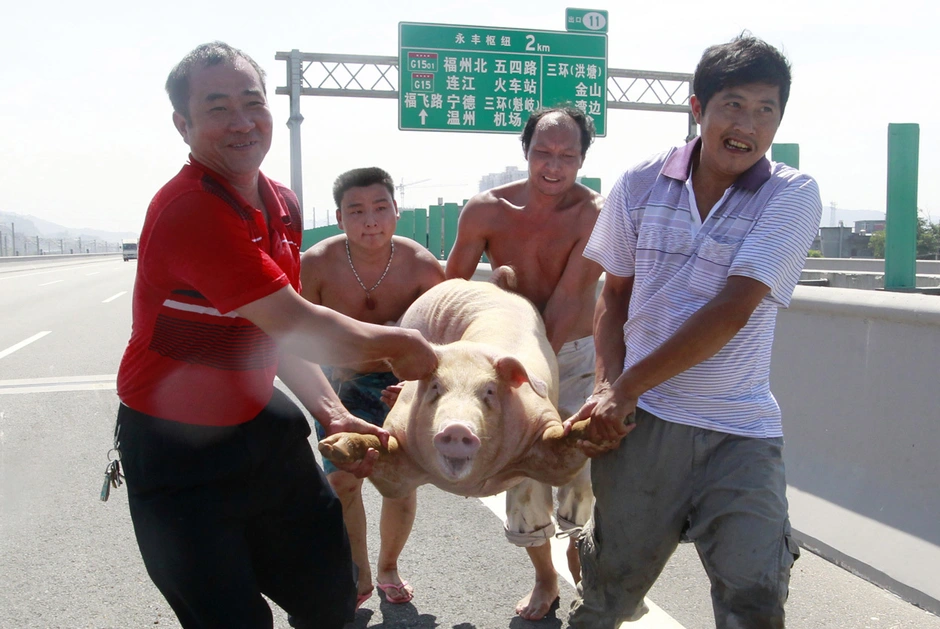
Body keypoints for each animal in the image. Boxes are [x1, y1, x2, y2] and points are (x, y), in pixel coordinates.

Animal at [320, 278, 592, 498]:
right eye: (436, 387)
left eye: (489, 391)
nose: (457, 428)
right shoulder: (398, 457)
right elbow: (383, 456)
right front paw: (332, 446)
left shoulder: (542, 425)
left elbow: (561, 453)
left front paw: (596, 429)